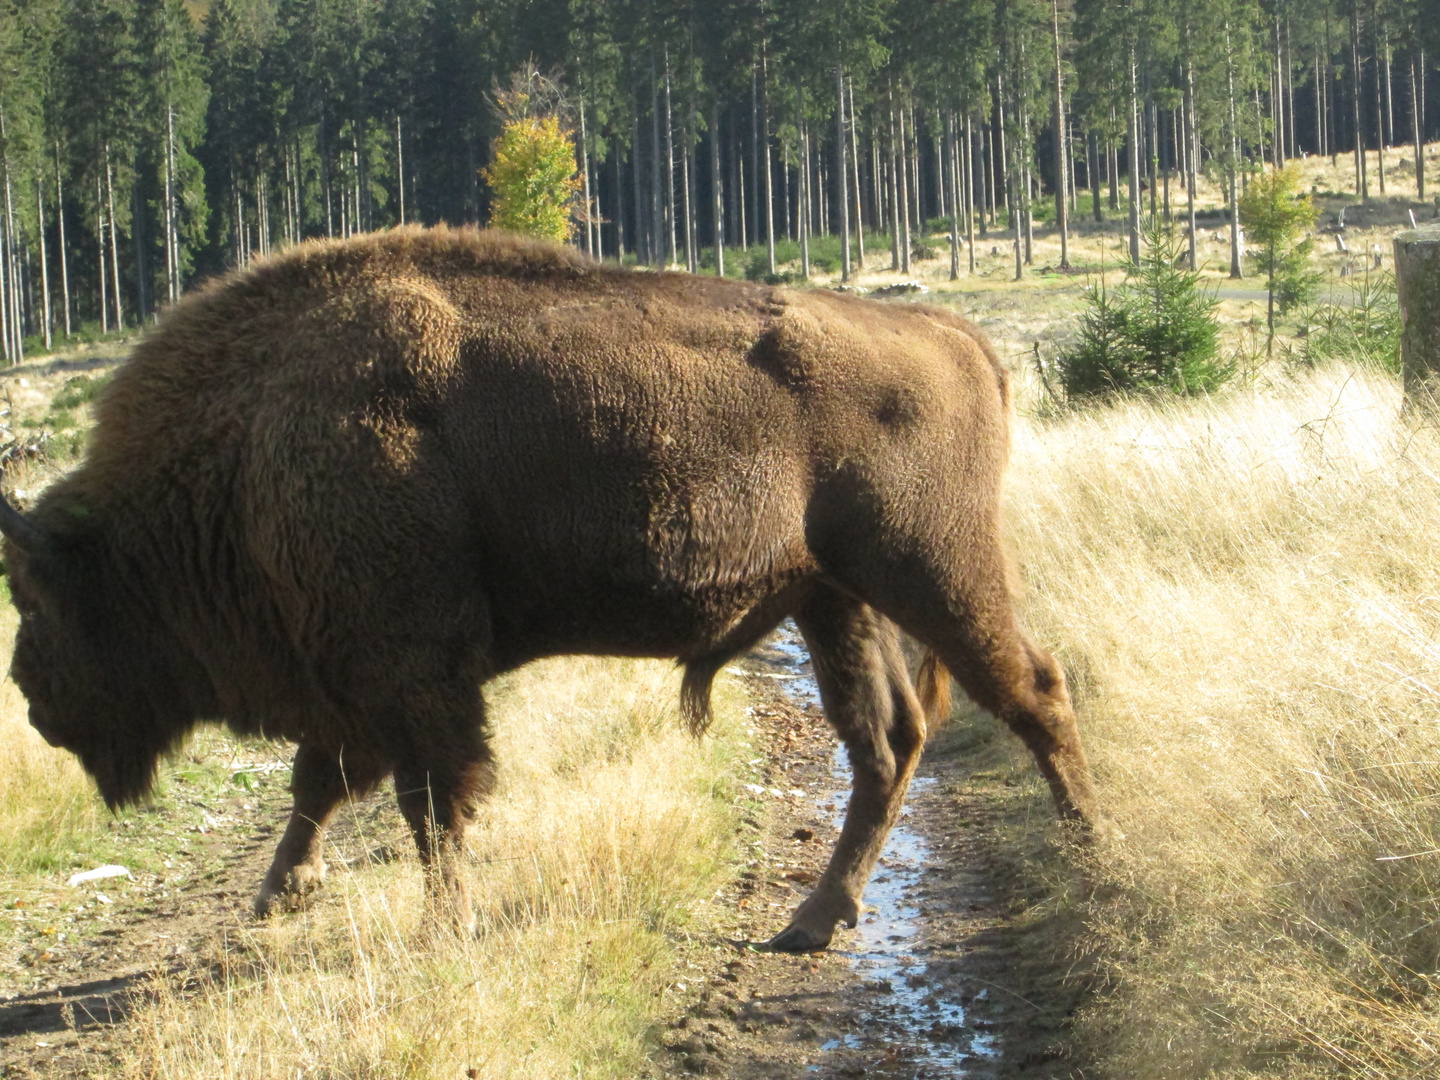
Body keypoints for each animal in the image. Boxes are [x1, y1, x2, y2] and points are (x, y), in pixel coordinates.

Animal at [2, 230, 1088, 956]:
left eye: (40, 599)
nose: (30, 697)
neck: (246, 441)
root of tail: (952, 331)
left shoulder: (407, 674)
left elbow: (428, 804)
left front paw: (439, 929)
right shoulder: (359, 677)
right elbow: (324, 784)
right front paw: (281, 896)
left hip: (932, 569)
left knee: (1031, 688)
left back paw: (1090, 845)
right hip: (835, 602)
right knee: (887, 742)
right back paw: (813, 922)